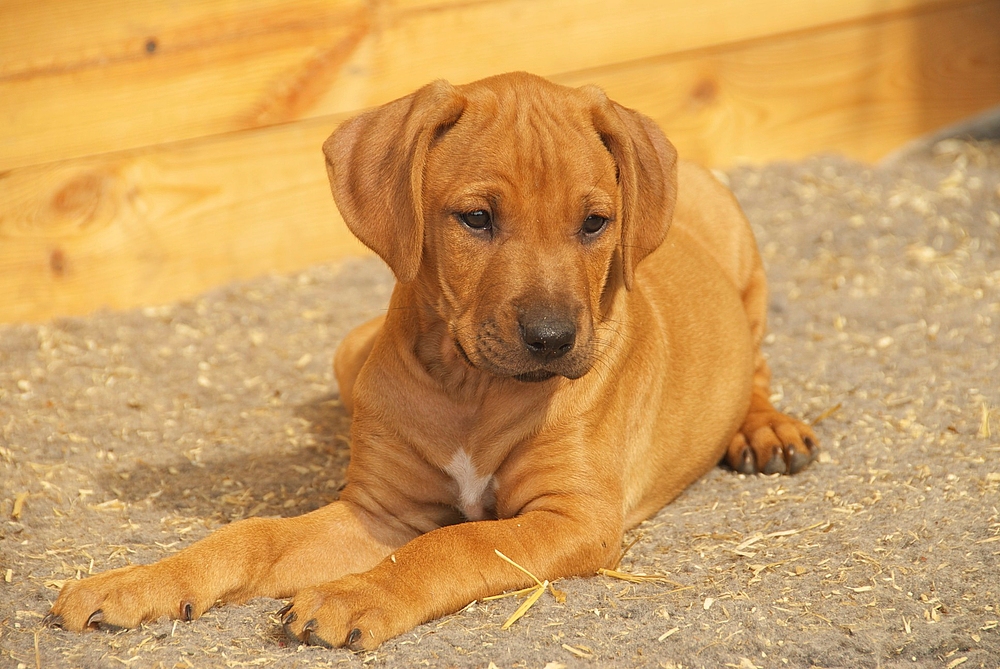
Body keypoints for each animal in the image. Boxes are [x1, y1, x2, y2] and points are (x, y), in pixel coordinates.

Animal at [43, 72, 816, 648]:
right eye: (476, 218)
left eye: (596, 223)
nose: (553, 338)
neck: (472, 385)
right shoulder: (379, 511)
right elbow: (249, 537)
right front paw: (136, 583)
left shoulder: (573, 517)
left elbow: (453, 545)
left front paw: (357, 594)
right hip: (347, 353)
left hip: (747, 269)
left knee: (755, 367)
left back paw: (766, 428)